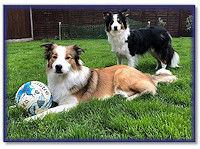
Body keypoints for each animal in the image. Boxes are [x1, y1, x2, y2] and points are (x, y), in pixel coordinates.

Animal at [25, 42, 177, 121]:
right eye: (54, 57)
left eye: (68, 57)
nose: (58, 67)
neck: (63, 78)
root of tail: (146, 74)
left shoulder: (71, 104)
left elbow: (49, 111)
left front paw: (29, 119)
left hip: (121, 73)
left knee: (151, 90)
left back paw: (128, 98)